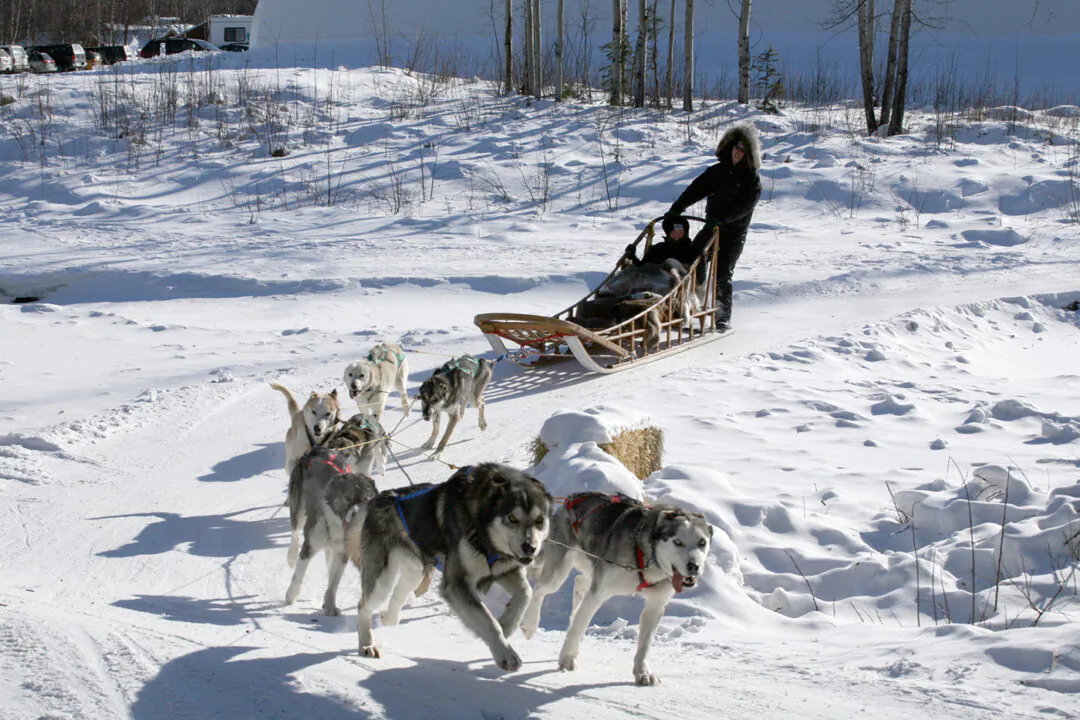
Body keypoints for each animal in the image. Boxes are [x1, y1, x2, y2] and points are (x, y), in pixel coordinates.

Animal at [285, 446, 378, 617]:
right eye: (347, 497)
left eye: (367, 498)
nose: (356, 515)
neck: (337, 526)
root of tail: (317, 448)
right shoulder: (310, 546)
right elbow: (299, 574)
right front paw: (291, 595)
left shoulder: (343, 553)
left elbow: (334, 582)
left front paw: (329, 604)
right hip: (298, 510)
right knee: (295, 533)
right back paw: (291, 556)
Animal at [347, 464, 552, 673]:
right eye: (512, 518)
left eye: (539, 520)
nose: (530, 547)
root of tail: (377, 499)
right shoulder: (457, 583)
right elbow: (488, 621)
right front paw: (505, 653)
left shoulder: (504, 570)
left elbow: (525, 592)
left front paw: (508, 624)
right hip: (383, 580)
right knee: (364, 605)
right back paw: (367, 645)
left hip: (415, 571)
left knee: (398, 596)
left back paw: (388, 618)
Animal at [520, 492, 712, 686]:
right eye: (677, 541)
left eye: (702, 542)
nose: (694, 566)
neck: (647, 557)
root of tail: (572, 498)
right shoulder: (597, 594)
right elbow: (577, 628)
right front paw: (567, 658)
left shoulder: (655, 605)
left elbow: (645, 644)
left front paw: (642, 672)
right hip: (558, 573)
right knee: (539, 589)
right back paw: (530, 624)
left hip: (591, 565)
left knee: (579, 582)